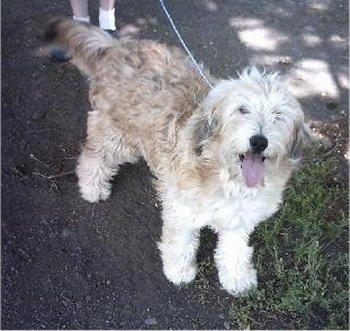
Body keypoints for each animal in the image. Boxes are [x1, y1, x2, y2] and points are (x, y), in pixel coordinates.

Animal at [42, 18, 310, 296]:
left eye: (278, 115)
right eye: (242, 109)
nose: (259, 141)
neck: (224, 175)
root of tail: (119, 47)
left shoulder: (239, 217)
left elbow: (235, 249)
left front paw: (237, 277)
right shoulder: (182, 210)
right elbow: (180, 243)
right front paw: (179, 271)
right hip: (118, 134)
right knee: (94, 154)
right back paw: (92, 186)